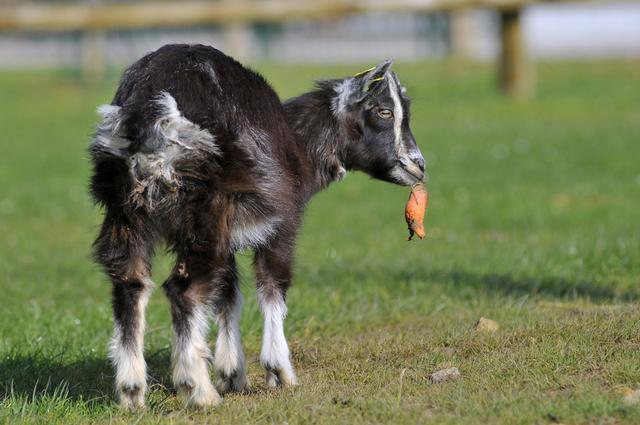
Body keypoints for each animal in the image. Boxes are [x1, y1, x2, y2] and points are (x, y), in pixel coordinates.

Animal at [87, 44, 422, 408]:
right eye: (383, 111)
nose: (418, 166)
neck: (301, 147)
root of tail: (152, 106)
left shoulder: (229, 238)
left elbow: (228, 295)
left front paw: (232, 373)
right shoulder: (282, 223)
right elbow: (273, 286)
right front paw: (280, 372)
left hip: (126, 210)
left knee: (130, 282)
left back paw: (132, 391)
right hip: (203, 211)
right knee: (184, 289)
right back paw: (198, 389)